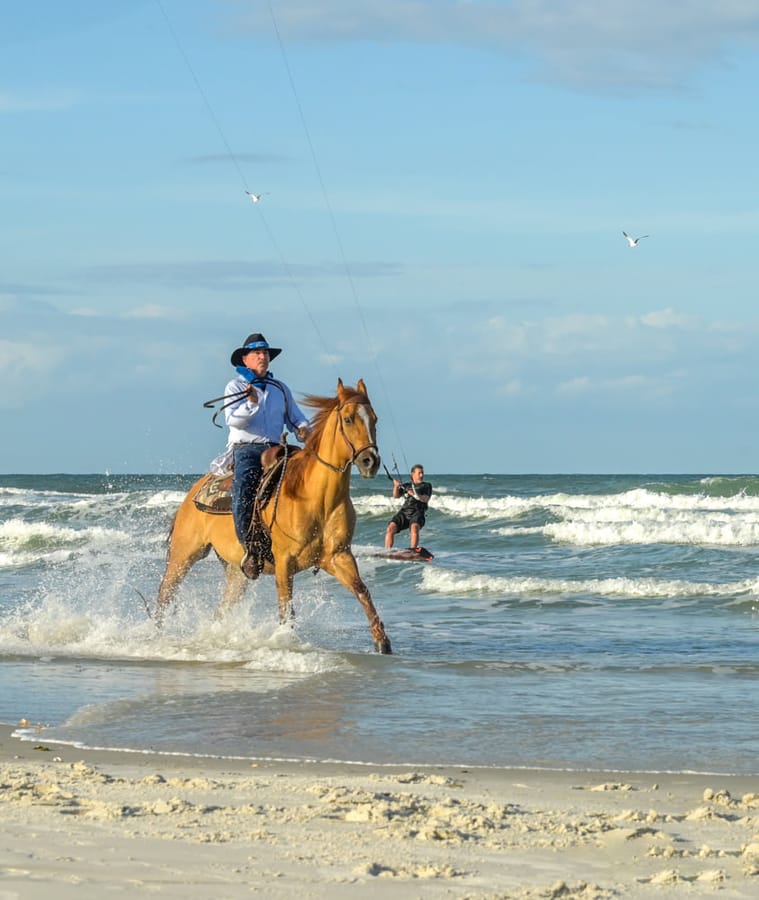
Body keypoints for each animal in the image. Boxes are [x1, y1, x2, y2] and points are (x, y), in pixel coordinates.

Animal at [153, 380, 392, 652]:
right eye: (349, 419)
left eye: (374, 419)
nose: (370, 461)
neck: (318, 500)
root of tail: (192, 493)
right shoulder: (284, 562)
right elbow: (286, 609)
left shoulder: (339, 556)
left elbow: (362, 592)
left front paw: (382, 642)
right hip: (184, 555)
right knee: (165, 594)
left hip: (236, 573)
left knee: (221, 609)